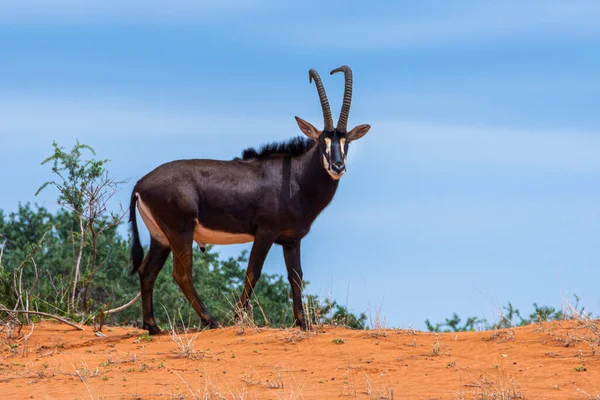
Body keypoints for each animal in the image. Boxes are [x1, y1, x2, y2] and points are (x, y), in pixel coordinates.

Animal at [129, 65, 368, 334]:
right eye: (321, 141)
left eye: (346, 142)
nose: (337, 167)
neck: (296, 178)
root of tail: (140, 184)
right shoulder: (265, 232)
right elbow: (253, 272)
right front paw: (238, 318)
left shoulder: (291, 240)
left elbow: (296, 276)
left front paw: (302, 322)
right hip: (180, 231)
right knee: (182, 274)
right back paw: (211, 321)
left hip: (160, 238)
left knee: (147, 271)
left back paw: (152, 326)